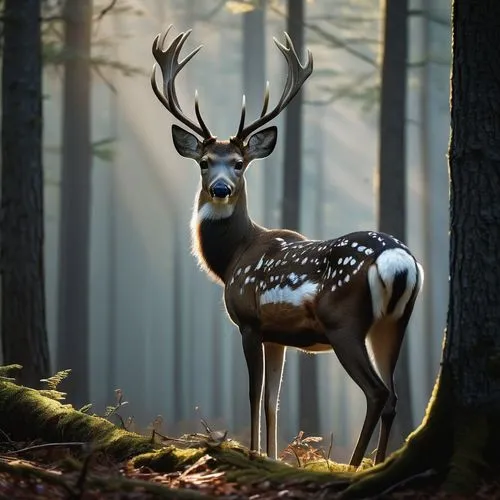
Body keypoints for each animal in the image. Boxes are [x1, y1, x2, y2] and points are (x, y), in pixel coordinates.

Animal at [150, 25, 424, 466]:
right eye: (205, 162)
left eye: (239, 163)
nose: (221, 189)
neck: (231, 260)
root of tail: (399, 261)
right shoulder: (277, 335)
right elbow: (272, 402)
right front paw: (273, 456)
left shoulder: (248, 321)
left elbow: (253, 394)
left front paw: (253, 453)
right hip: (396, 321)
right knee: (394, 394)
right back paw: (377, 463)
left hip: (345, 323)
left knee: (377, 392)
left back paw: (351, 465)